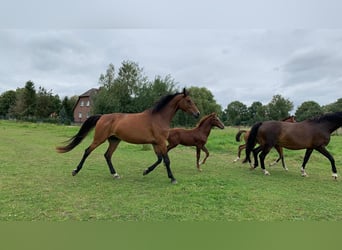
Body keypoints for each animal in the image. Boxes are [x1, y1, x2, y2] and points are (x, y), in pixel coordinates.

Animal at [56, 88, 200, 184]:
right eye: (188, 101)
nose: (197, 114)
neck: (158, 118)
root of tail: (102, 116)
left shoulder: (156, 143)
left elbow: (159, 159)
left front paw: (146, 171)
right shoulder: (161, 142)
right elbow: (166, 160)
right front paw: (173, 178)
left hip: (114, 141)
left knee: (107, 155)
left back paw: (115, 174)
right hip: (99, 139)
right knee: (87, 151)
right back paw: (75, 171)